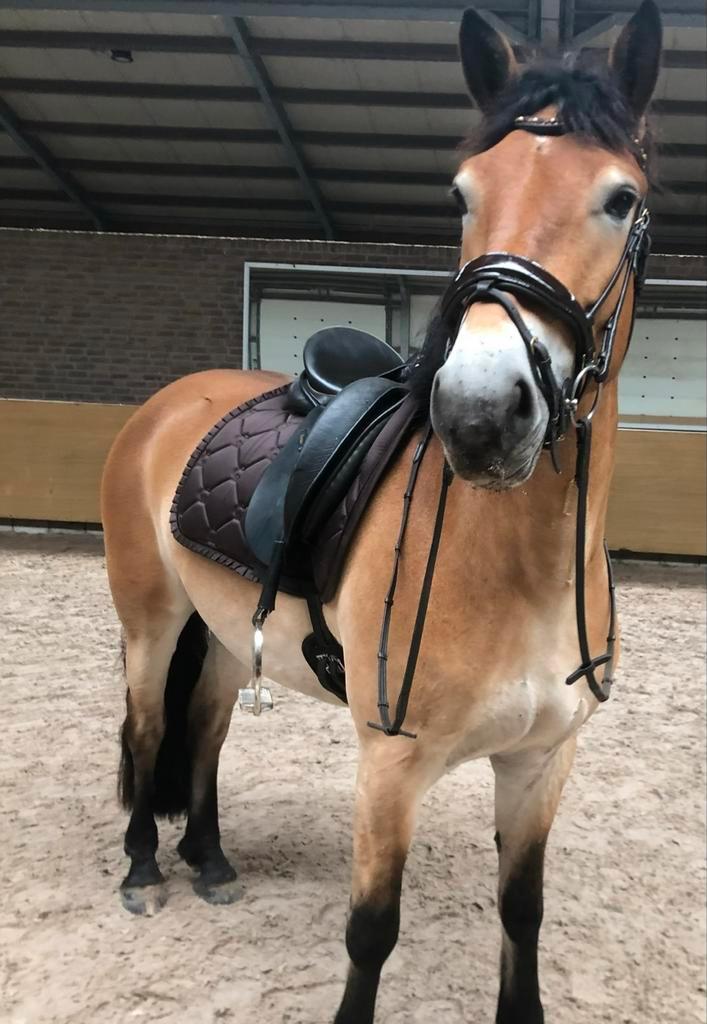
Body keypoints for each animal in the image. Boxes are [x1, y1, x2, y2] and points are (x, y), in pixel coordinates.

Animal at [100, 3, 662, 1021]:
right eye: (462, 194)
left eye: (619, 199)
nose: (480, 415)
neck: (517, 567)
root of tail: (168, 405)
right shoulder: (389, 767)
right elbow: (370, 935)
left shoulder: (540, 764)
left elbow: (521, 913)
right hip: (151, 625)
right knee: (152, 726)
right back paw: (143, 872)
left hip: (222, 632)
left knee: (205, 729)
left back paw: (210, 859)